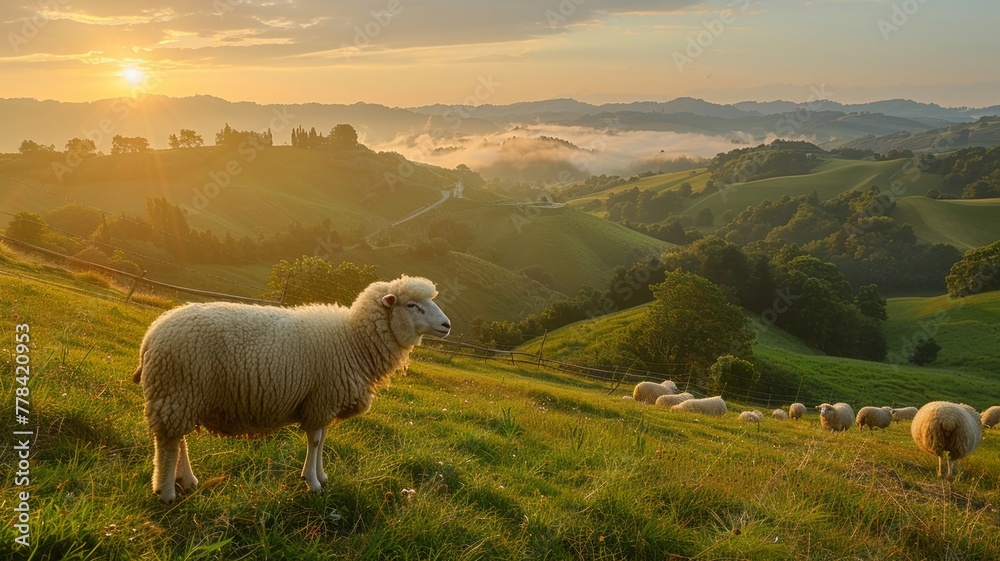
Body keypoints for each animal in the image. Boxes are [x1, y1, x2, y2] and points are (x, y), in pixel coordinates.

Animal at [132, 275, 451, 502]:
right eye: (411, 305)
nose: (447, 325)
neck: (352, 340)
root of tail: (152, 333)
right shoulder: (323, 398)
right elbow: (315, 441)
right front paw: (313, 482)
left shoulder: (324, 401)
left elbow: (322, 439)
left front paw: (321, 475)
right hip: (177, 388)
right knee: (168, 444)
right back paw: (166, 492)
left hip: (182, 395)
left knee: (178, 440)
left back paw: (186, 481)